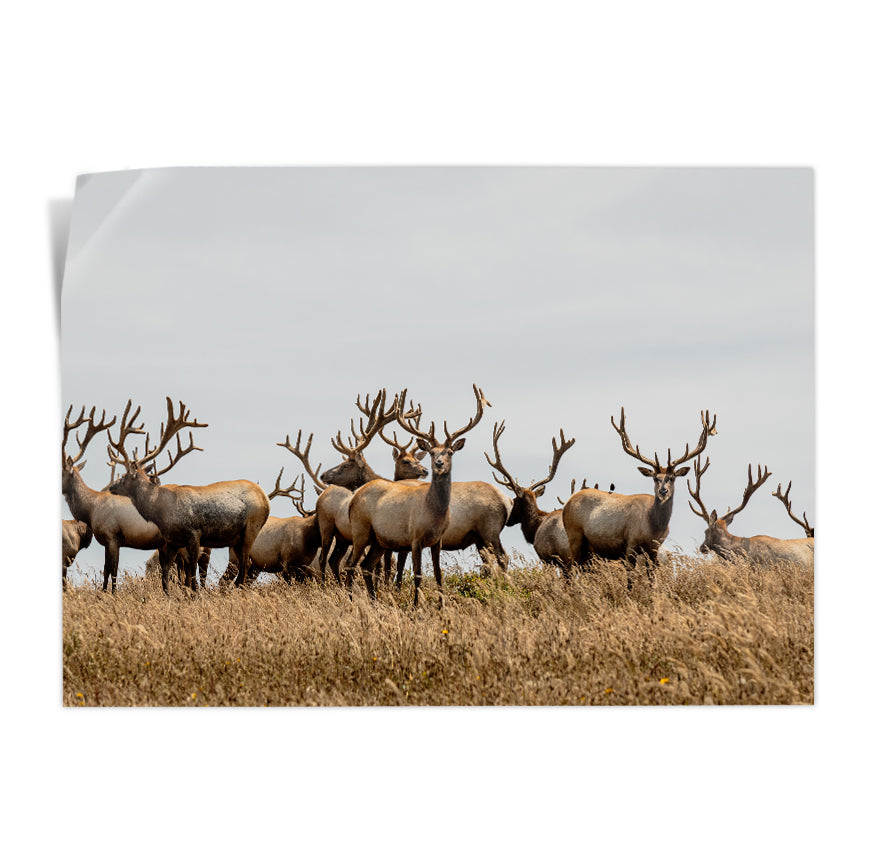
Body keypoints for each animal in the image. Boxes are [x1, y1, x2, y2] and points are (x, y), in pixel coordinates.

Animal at [107, 397, 270, 593]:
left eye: (123, 477)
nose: (111, 487)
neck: (160, 511)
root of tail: (265, 498)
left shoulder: (194, 533)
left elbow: (191, 572)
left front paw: (195, 594)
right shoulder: (173, 541)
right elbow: (168, 573)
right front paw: (171, 594)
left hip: (251, 528)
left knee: (244, 566)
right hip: (236, 539)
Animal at [347, 383, 490, 607]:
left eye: (450, 452)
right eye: (432, 452)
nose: (438, 464)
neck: (434, 514)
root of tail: (353, 498)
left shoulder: (437, 540)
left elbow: (438, 574)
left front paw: (441, 606)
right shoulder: (414, 537)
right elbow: (418, 574)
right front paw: (416, 606)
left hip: (379, 540)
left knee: (366, 566)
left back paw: (373, 601)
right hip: (360, 529)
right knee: (351, 565)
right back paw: (351, 601)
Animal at [562, 407, 717, 588]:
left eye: (672, 478)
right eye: (655, 478)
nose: (663, 491)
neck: (653, 526)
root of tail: (567, 503)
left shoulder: (654, 549)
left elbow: (652, 579)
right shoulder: (630, 543)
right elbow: (630, 579)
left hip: (589, 548)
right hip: (574, 535)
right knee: (570, 570)